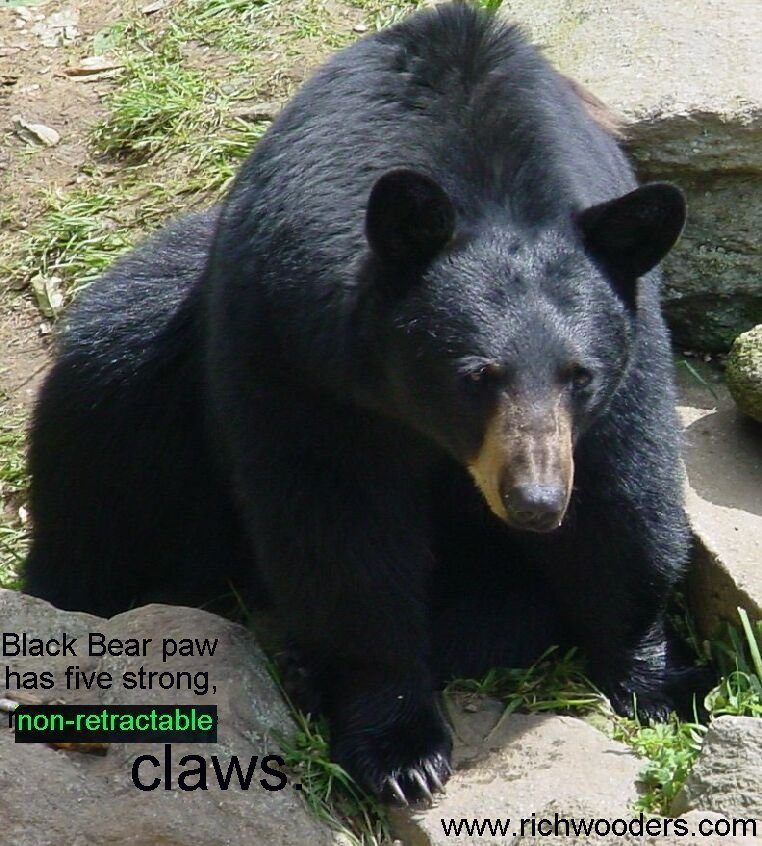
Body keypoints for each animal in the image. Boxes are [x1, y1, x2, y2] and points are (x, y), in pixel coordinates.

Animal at [25, 3, 704, 805]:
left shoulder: (626, 366)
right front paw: (399, 748)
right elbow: (340, 538)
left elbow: (625, 500)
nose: (534, 502)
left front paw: (663, 679)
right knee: (100, 420)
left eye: (580, 375)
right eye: (476, 374)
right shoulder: (298, 358)